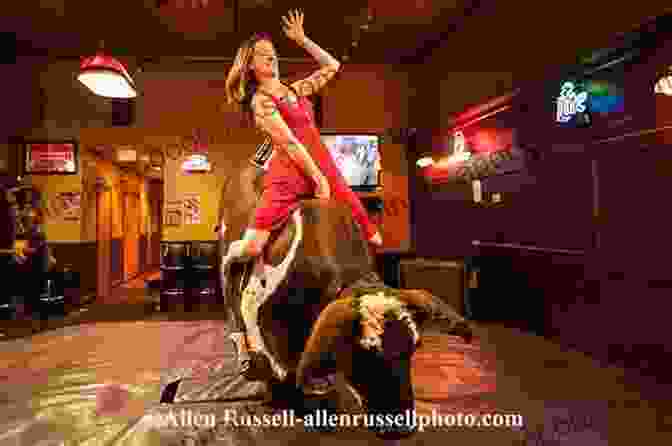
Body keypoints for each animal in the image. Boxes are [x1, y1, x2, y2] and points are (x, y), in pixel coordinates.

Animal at [218, 140, 470, 440]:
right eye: (365, 352)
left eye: (414, 347)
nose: (401, 426)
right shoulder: (263, 318)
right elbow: (281, 369)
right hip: (229, 251)